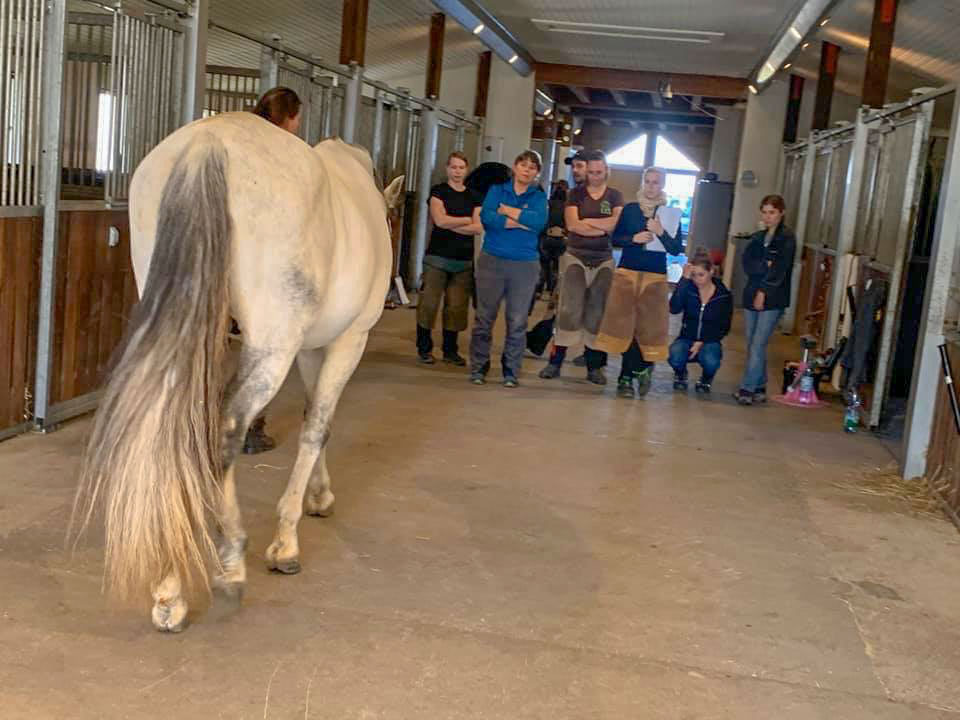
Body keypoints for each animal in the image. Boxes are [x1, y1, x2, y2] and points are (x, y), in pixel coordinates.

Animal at [71, 112, 405, 632]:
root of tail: (209, 142)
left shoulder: (312, 349)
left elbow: (315, 418)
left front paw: (319, 497)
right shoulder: (348, 341)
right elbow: (317, 426)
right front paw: (286, 542)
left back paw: (169, 591)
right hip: (271, 347)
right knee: (225, 428)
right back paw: (229, 565)